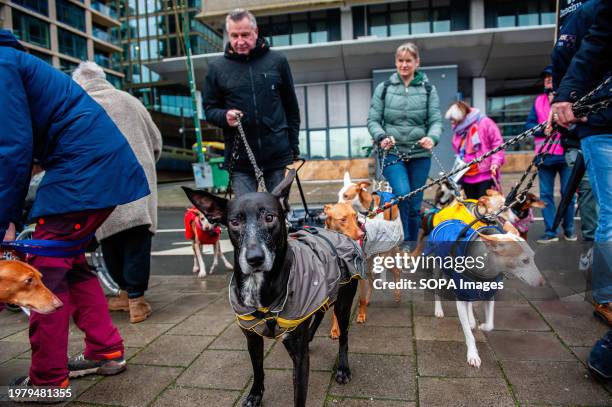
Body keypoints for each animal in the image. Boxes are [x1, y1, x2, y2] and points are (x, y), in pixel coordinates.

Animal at [184, 171, 360, 407]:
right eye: (234, 222)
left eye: (269, 218)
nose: (254, 258)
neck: (259, 285)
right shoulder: (252, 339)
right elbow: (258, 370)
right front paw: (255, 395)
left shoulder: (300, 357)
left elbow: (299, 397)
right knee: (320, 313)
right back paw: (311, 337)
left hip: (343, 303)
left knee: (343, 336)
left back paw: (342, 368)